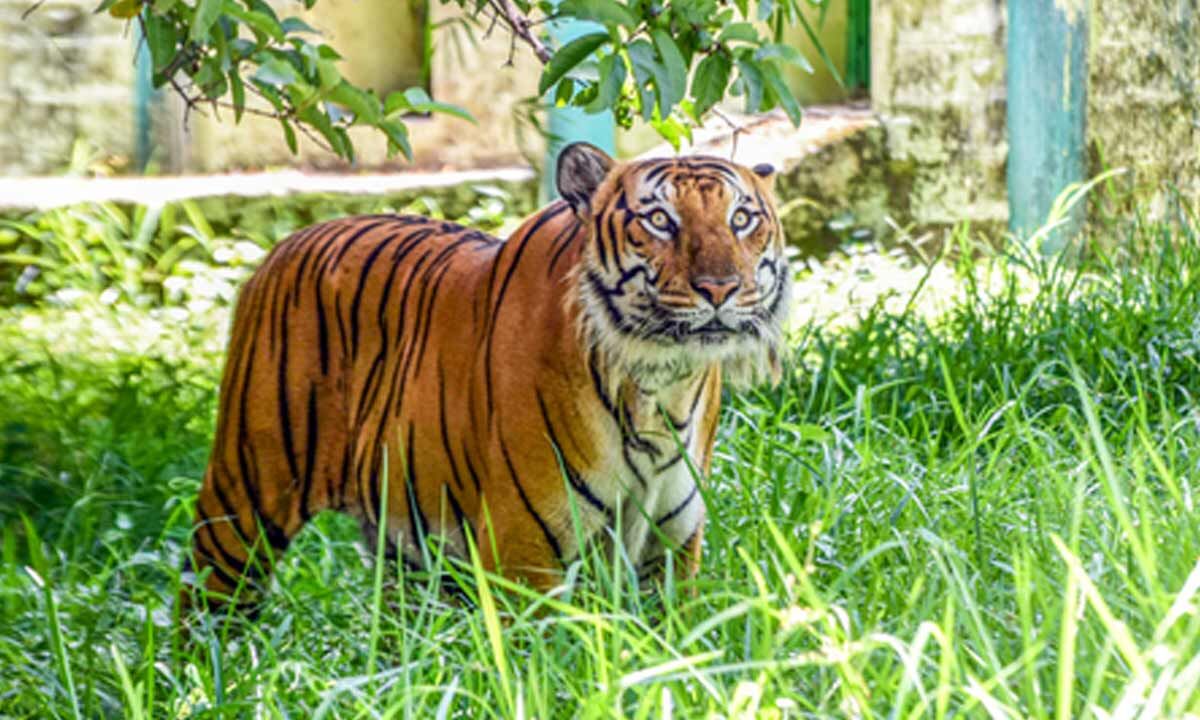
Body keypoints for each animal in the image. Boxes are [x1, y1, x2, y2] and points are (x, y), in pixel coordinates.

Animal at [181, 142, 790, 611]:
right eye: (660, 220)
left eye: (741, 219)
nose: (720, 288)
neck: (658, 380)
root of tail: (282, 246)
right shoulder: (525, 551)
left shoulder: (668, 551)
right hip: (246, 493)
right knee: (206, 598)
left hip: (408, 543)